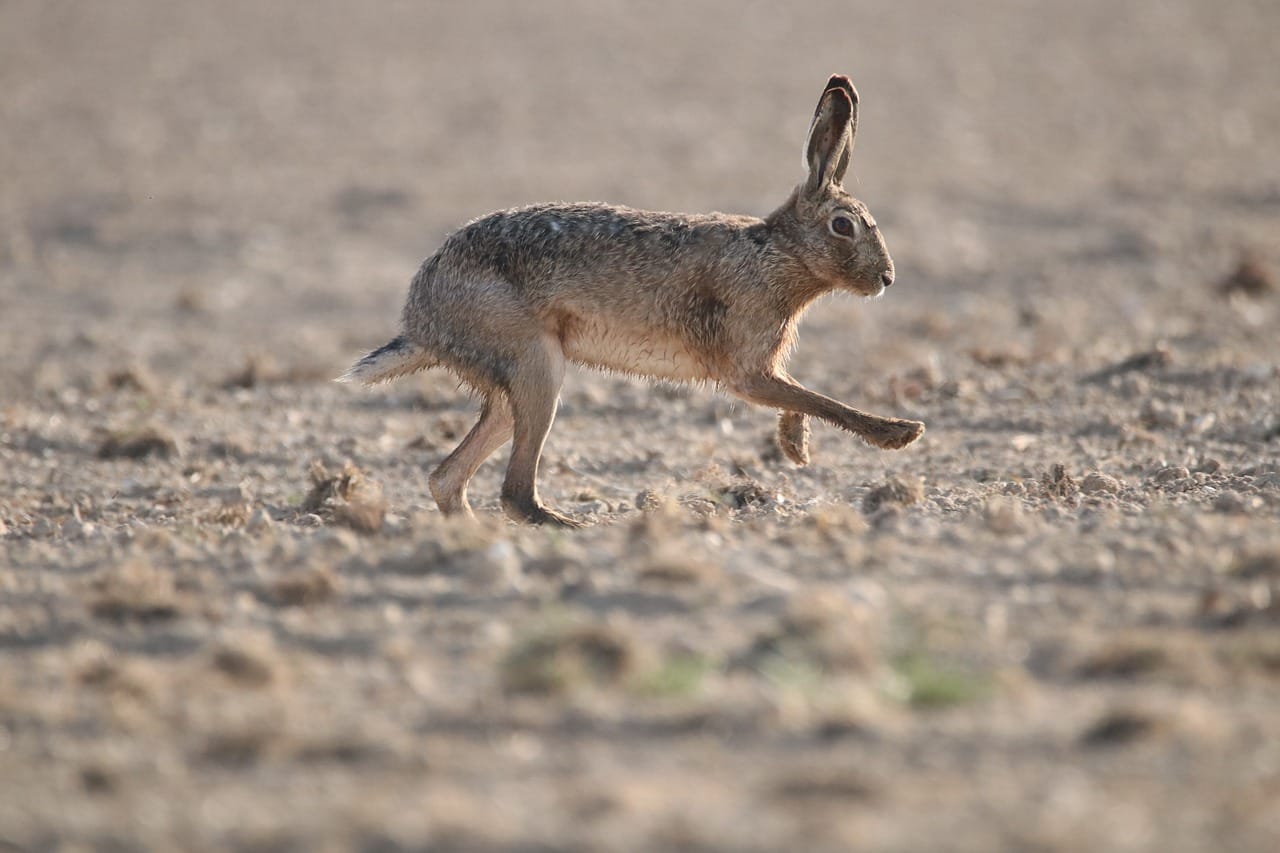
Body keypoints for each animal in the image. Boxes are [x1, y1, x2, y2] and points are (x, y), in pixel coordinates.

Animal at [341, 74, 924, 527]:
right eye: (843, 226)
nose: (887, 278)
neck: (776, 252)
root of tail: (420, 318)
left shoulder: (765, 368)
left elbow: (800, 399)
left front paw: (795, 448)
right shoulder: (747, 370)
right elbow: (817, 399)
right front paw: (899, 434)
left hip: (515, 388)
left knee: (448, 477)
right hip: (535, 365)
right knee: (513, 492)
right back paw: (567, 528)